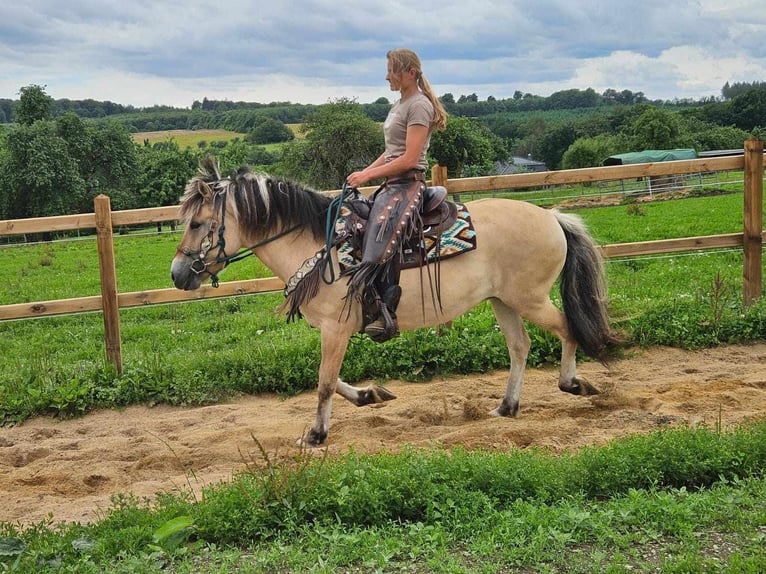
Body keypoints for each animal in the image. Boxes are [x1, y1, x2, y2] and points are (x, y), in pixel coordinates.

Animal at [171, 159, 620, 450]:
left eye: (196, 223)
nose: (177, 275)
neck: (322, 245)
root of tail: (553, 218)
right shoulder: (335, 330)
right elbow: (332, 379)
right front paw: (370, 395)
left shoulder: (336, 328)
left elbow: (323, 382)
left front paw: (316, 435)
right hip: (502, 301)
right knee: (519, 346)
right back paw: (506, 406)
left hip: (529, 299)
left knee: (566, 328)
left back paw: (572, 383)